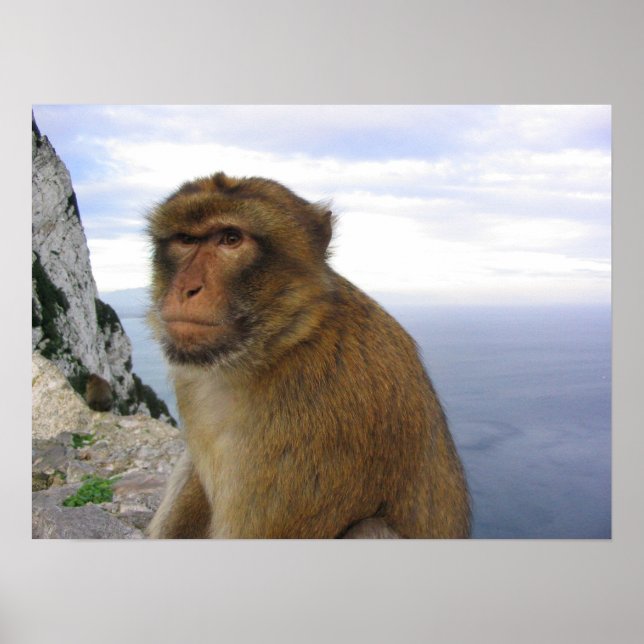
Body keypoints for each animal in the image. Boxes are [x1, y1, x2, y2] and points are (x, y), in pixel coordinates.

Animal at [146, 172, 470, 539]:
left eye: (231, 239)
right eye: (186, 239)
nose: (186, 288)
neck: (284, 341)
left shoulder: (315, 419)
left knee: (370, 528)